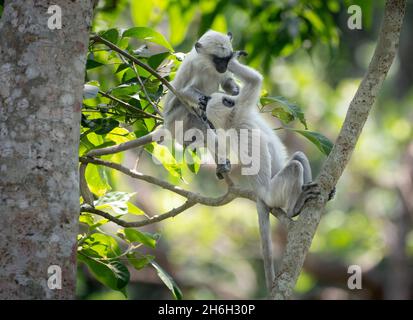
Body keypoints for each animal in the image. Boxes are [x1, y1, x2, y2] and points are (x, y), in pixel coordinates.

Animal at [163, 29, 243, 178]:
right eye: (218, 60)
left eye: (227, 60)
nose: (223, 67)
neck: (209, 66)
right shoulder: (195, 67)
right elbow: (183, 92)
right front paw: (204, 103)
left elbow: (226, 82)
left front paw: (236, 92)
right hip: (174, 122)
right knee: (189, 112)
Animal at [205, 58, 318, 296]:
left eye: (208, 100)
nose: (203, 99)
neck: (231, 121)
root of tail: (260, 194)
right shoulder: (241, 107)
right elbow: (254, 81)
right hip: (274, 192)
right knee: (294, 166)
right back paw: (295, 209)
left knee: (299, 156)